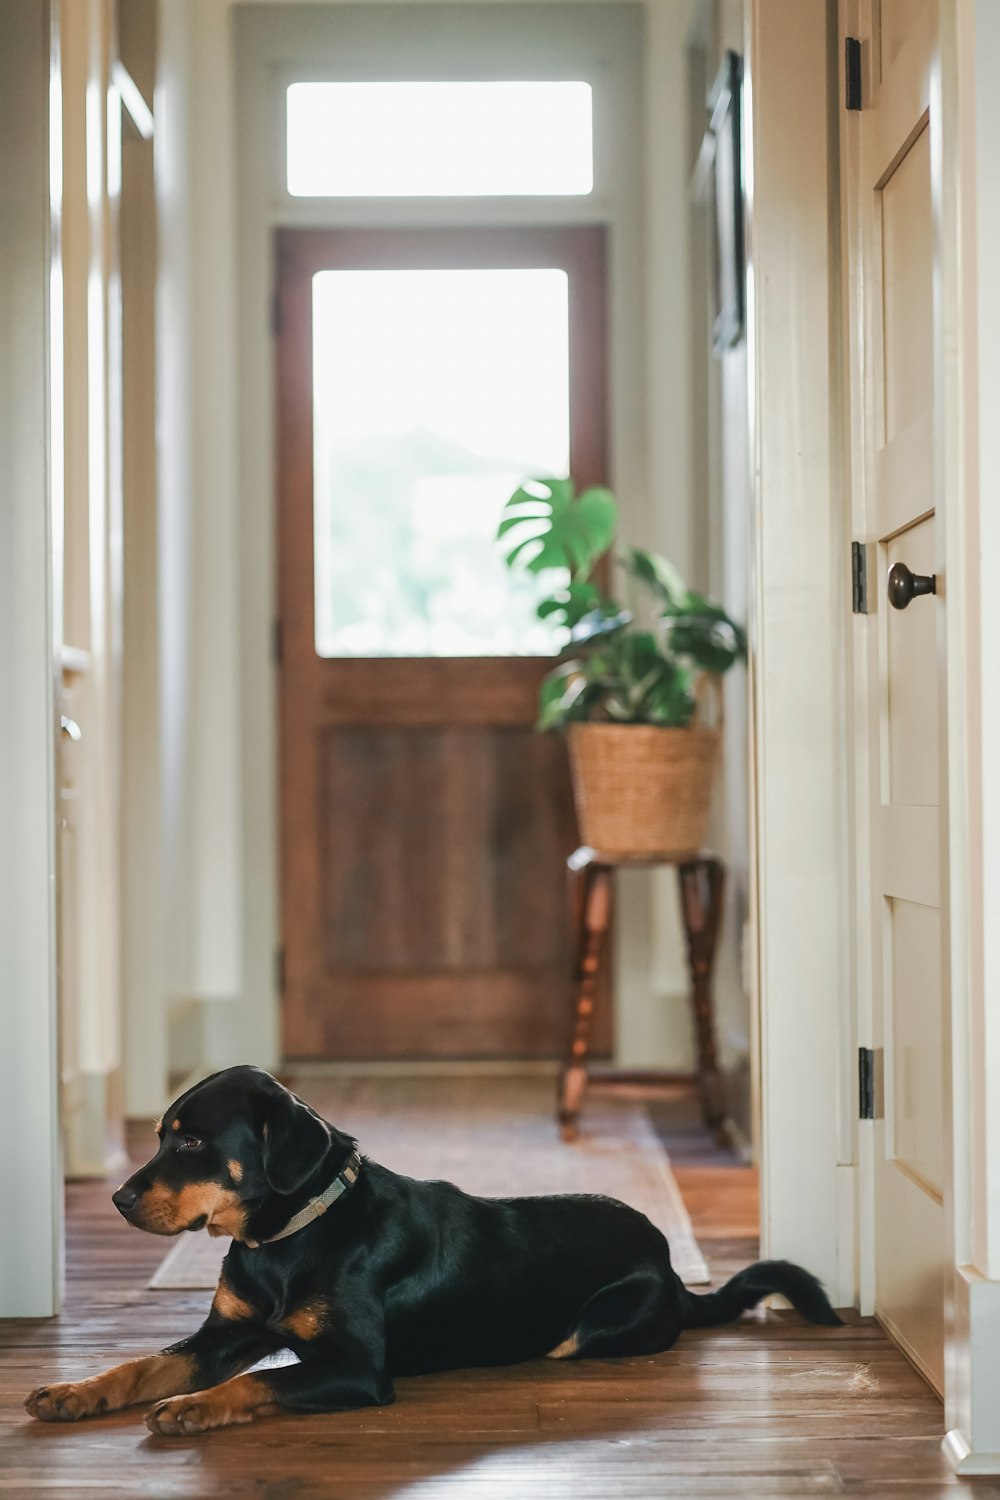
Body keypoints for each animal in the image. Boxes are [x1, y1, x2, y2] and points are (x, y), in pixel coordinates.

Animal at [23, 1062, 839, 1434]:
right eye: (162, 1134)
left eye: (192, 1141)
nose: (118, 1198)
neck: (282, 1239)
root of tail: (675, 1272)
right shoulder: (224, 1332)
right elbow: (141, 1365)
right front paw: (74, 1391)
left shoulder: (356, 1368)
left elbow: (259, 1381)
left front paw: (193, 1406)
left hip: (595, 1326)